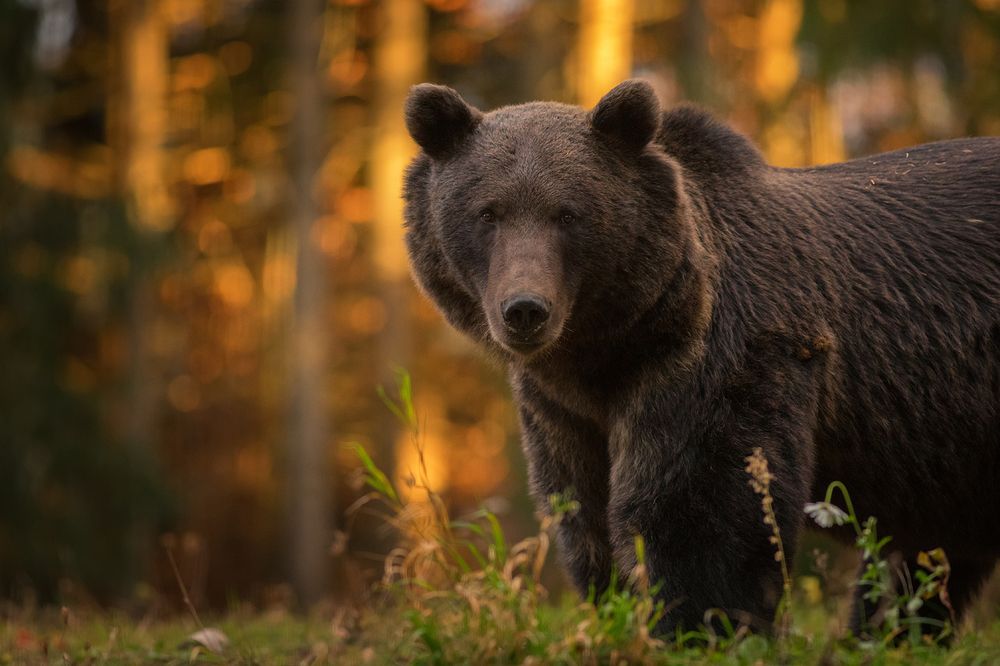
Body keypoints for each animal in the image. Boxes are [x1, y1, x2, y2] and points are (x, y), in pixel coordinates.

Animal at [401, 79, 1000, 635]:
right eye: (488, 213)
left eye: (567, 214)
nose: (525, 309)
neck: (606, 348)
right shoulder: (562, 410)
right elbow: (583, 512)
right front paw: (618, 607)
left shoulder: (721, 357)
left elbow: (701, 517)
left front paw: (700, 626)